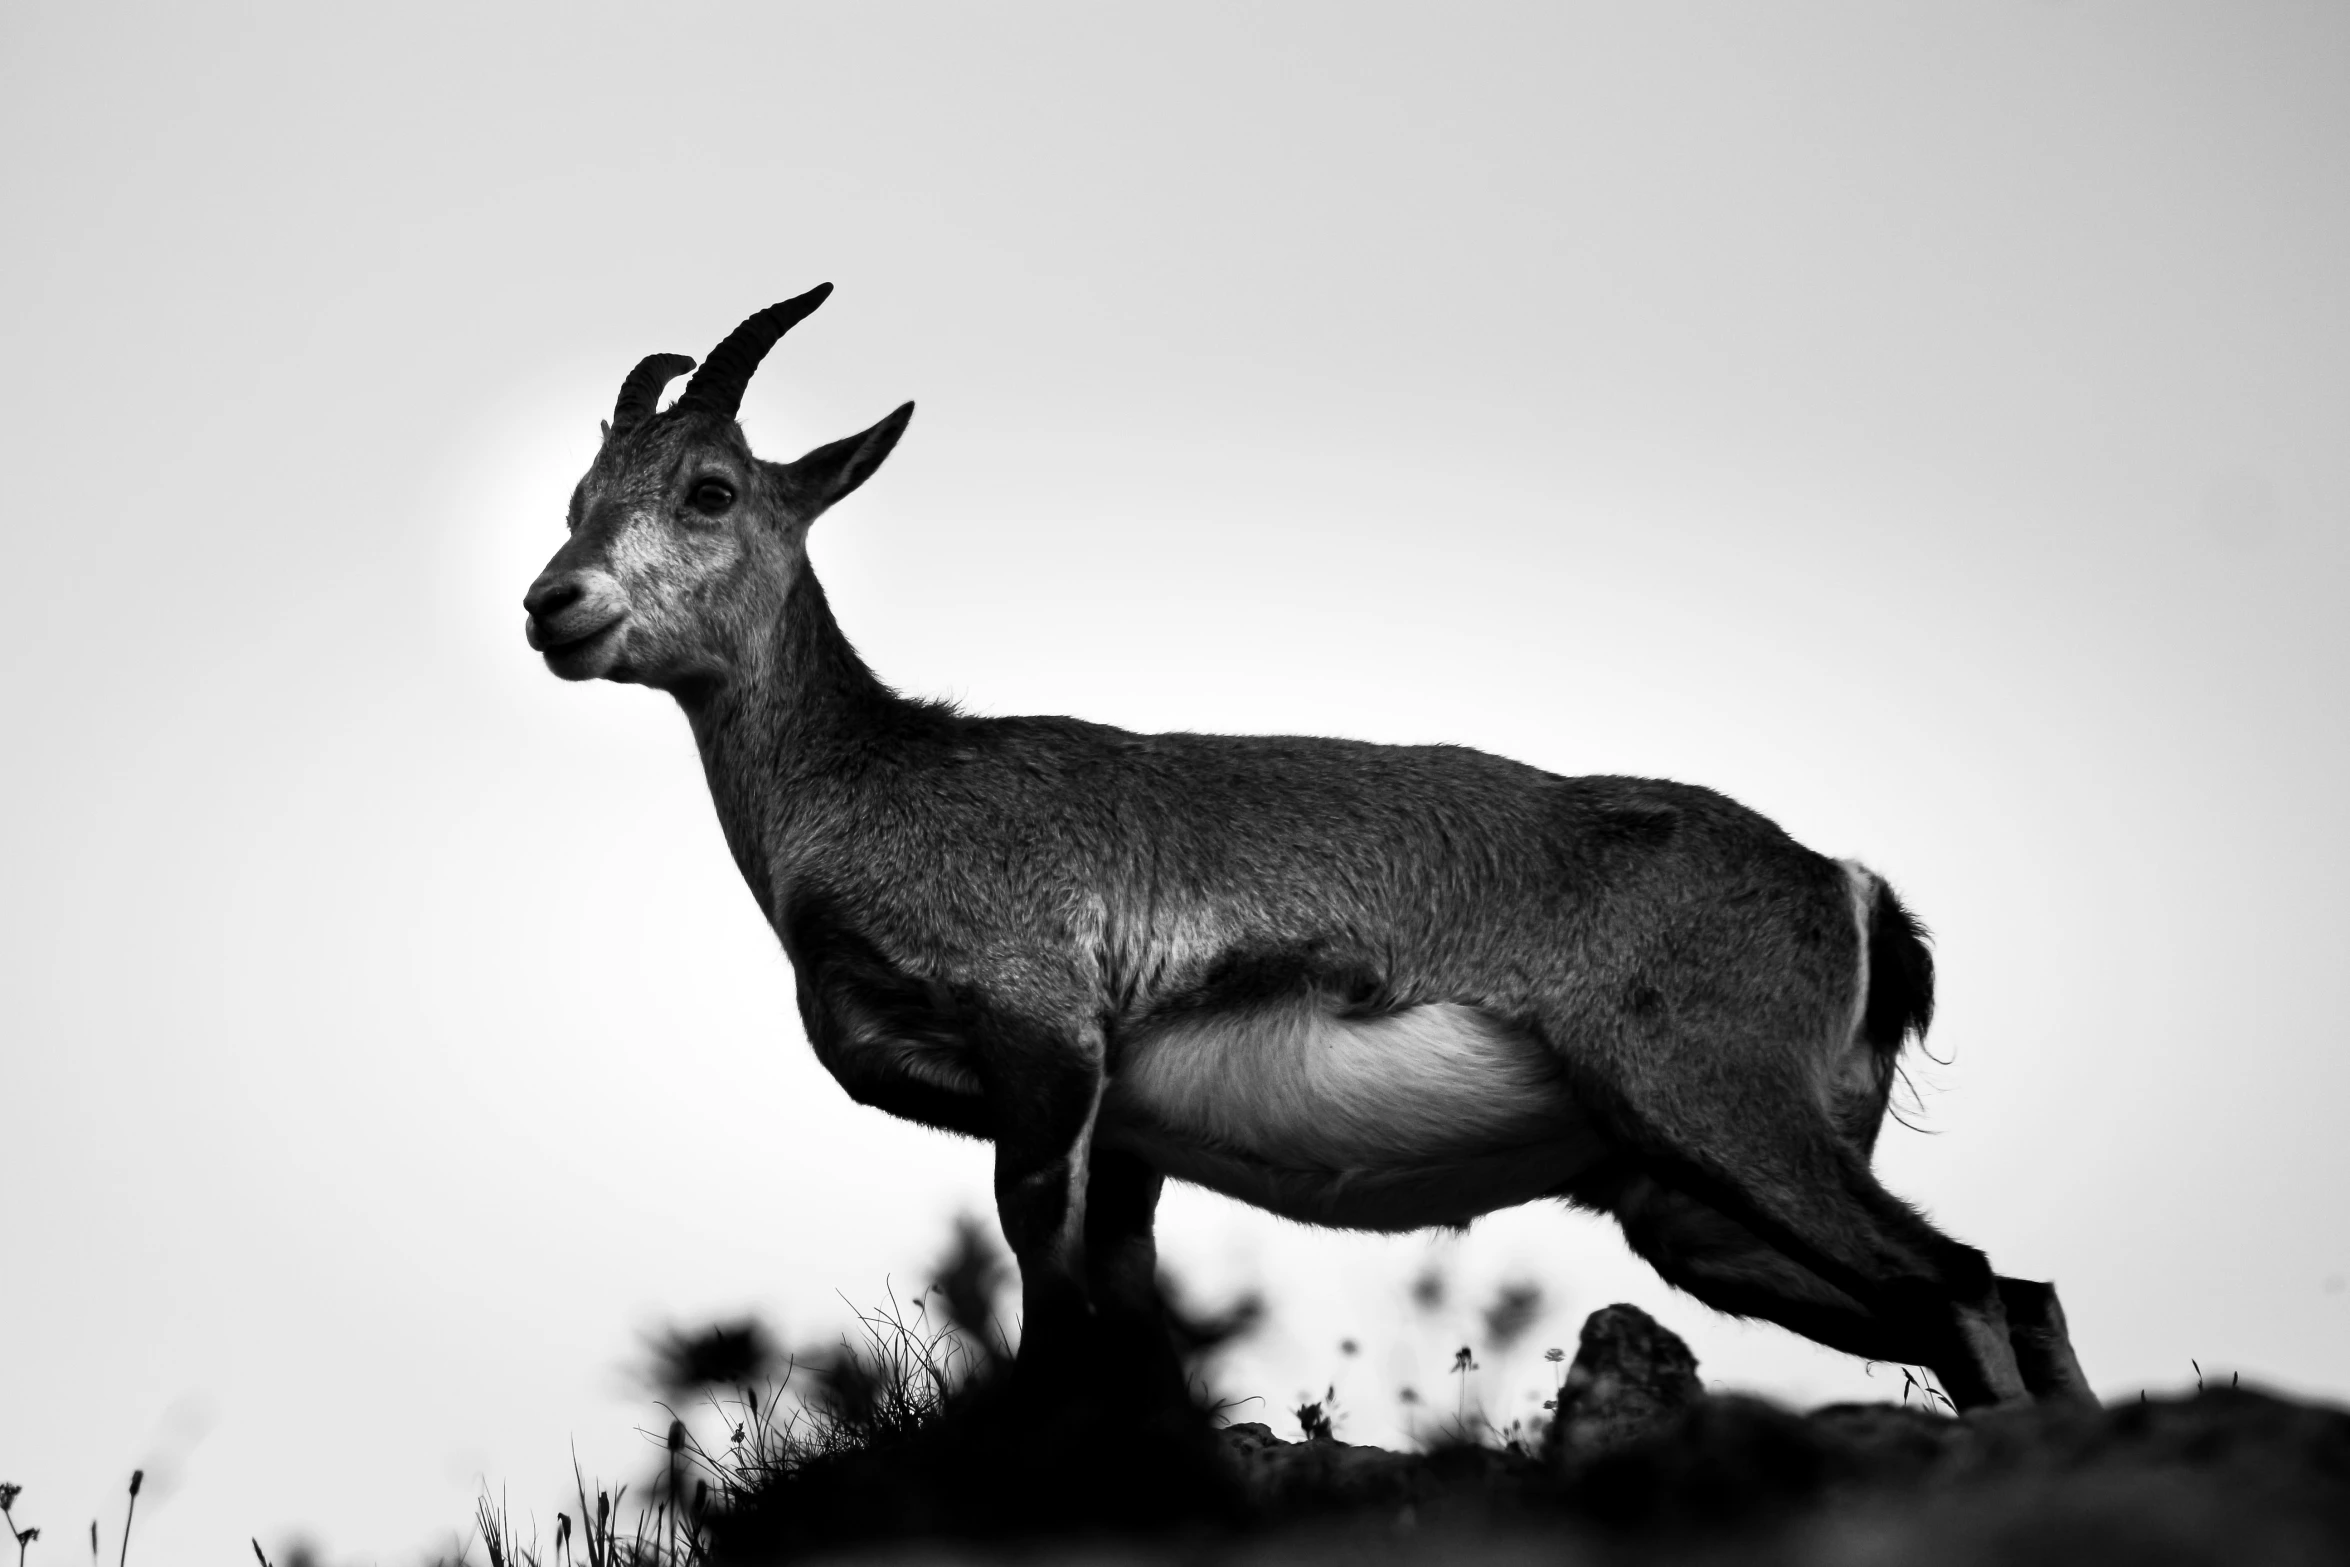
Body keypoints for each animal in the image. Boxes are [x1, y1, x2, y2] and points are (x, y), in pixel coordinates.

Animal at [528, 287, 2096, 1418]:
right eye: (577, 494)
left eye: (711, 485)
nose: (554, 601)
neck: (881, 783)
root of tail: (1849, 891)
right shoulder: (1129, 1137)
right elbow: (1126, 1297)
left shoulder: (1045, 1043)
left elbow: (1045, 1274)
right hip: (1685, 1207)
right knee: (2007, 1293)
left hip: (1720, 1109)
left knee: (1958, 1283)